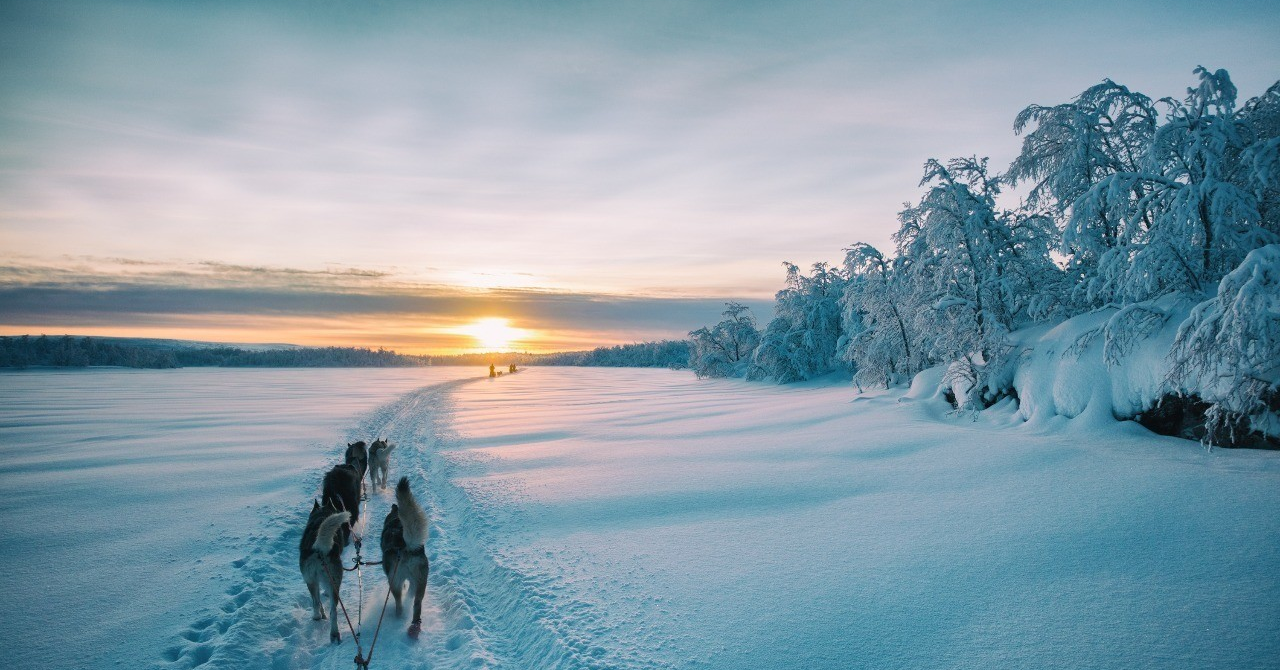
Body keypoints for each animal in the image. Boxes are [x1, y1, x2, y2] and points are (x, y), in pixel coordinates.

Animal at [293, 507, 345, 643]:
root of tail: (319, 549)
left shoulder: (312, 581)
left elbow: (318, 601)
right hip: (332, 582)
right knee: (333, 611)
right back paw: (334, 633)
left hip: (311, 581)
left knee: (316, 602)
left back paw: (316, 617)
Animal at [381, 473, 432, 637]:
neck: (396, 522)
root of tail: (406, 548)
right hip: (421, 581)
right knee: (417, 603)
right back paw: (414, 625)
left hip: (394, 582)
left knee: (399, 602)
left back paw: (399, 615)